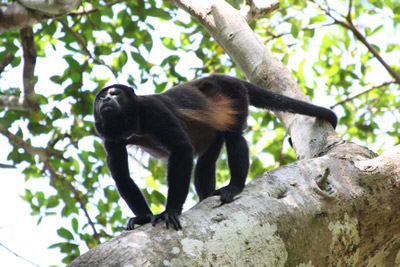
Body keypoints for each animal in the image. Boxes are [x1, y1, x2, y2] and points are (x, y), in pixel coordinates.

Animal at [94, 74, 338, 231]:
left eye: (115, 93)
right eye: (100, 98)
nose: (106, 99)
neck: (131, 122)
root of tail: (228, 77)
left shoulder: (153, 110)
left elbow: (182, 149)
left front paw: (170, 210)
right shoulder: (110, 138)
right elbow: (122, 177)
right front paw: (144, 218)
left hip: (234, 96)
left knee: (234, 136)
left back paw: (234, 186)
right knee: (206, 160)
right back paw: (207, 196)